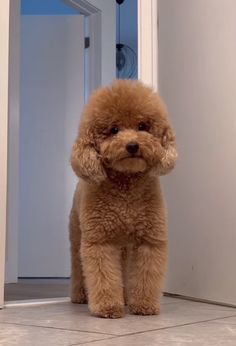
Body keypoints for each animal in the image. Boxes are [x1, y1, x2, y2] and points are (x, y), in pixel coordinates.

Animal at [68, 79, 177, 318]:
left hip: (125, 245)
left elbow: (146, 274)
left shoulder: (149, 240)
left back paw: (126, 296)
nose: (133, 145)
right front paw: (108, 306)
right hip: (78, 235)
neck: (126, 186)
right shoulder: (101, 241)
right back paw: (79, 295)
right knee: (78, 265)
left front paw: (144, 305)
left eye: (143, 126)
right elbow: (103, 276)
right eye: (114, 130)